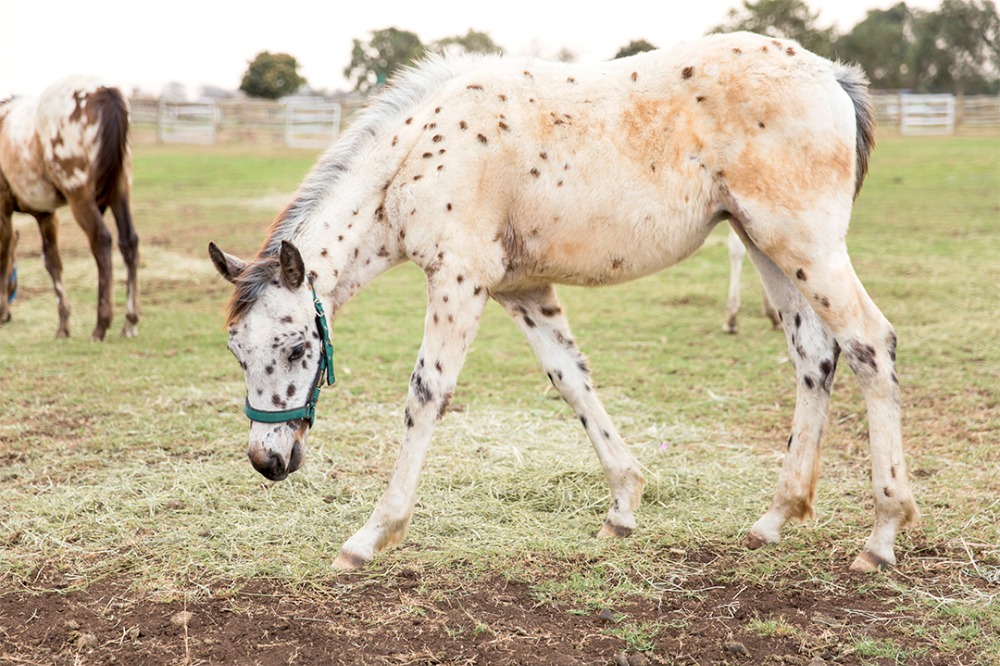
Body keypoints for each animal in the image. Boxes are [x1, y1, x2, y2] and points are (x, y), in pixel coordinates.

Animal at [0, 75, 141, 340]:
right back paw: (130, 321)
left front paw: (2, 310)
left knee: (101, 240)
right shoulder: (45, 214)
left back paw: (101, 325)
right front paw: (63, 325)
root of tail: (103, 91)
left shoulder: (4, 211)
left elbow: (4, 256)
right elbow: (52, 262)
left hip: (80, 198)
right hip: (120, 193)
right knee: (129, 242)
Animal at [211, 31, 920, 572]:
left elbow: (425, 396)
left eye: (297, 347)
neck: (417, 155)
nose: (268, 461)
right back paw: (775, 517)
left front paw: (370, 536)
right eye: (238, 353)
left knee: (869, 344)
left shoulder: (459, 280)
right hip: (766, 246)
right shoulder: (520, 290)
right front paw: (624, 506)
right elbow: (571, 380)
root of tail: (831, 74)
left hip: (806, 247)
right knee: (814, 357)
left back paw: (882, 536)